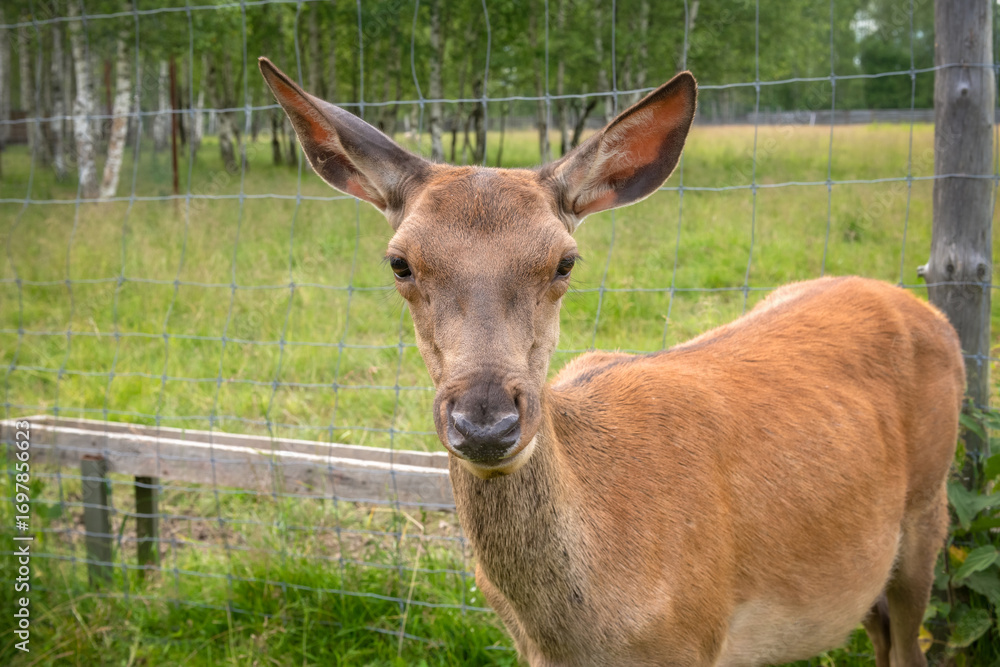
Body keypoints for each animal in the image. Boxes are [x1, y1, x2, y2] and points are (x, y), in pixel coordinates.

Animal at [259, 57, 965, 667]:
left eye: (565, 261)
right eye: (400, 262)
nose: (486, 422)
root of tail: (927, 309)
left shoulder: (695, 639)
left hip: (928, 510)